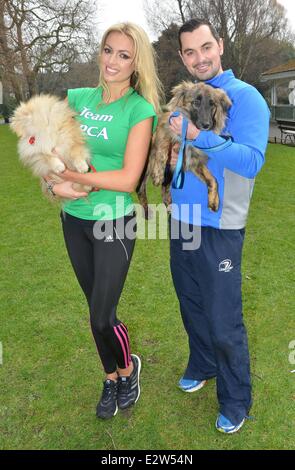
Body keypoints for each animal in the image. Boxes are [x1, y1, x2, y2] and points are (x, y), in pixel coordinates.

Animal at [138, 82, 232, 217]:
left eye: (212, 104)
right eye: (196, 102)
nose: (206, 125)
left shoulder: (194, 160)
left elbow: (212, 179)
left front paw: (214, 202)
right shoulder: (163, 128)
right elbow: (163, 147)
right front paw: (158, 174)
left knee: (164, 188)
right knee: (140, 188)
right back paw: (146, 211)